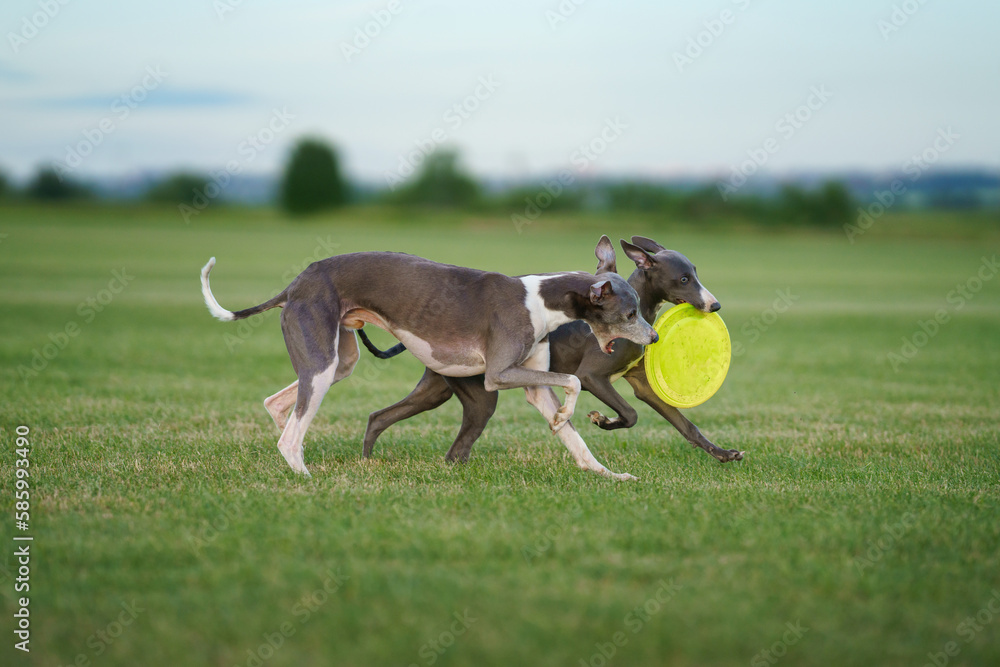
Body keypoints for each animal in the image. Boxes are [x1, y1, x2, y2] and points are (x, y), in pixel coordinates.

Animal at [201, 235, 656, 480]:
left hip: (338, 359)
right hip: (321, 358)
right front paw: (565, 415)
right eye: (628, 314)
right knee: (291, 433)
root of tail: (296, 283)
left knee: (280, 406)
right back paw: (305, 475)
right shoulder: (498, 373)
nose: (652, 338)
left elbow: (576, 438)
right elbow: (575, 379)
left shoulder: (531, 383)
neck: (541, 301)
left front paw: (608, 472)